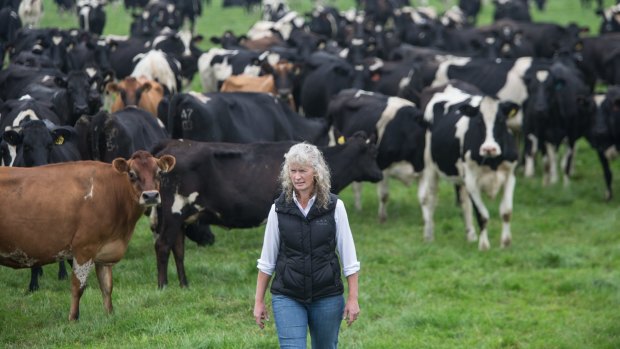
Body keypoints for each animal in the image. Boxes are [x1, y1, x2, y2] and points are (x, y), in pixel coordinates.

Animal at [0, 150, 174, 318]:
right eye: (131, 174)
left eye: (159, 173)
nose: (150, 195)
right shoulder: (84, 248)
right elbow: (78, 286)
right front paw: (73, 318)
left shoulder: (105, 254)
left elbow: (107, 286)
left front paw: (110, 315)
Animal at [150, 132, 382, 286]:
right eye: (372, 152)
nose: (380, 174)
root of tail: (172, 143)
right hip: (173, 212)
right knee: (162, 245)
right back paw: (163, 286)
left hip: (181, 218)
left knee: (178, 249)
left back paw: (184, 284)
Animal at [416, 81, 520, 250]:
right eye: (478, 121)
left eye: (501, 120)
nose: (489, 148)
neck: (492, 161)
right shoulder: (472, 180)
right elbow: (482, 215)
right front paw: (484, 246)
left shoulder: (510, 176)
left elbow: (506, 212)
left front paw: (505, 243)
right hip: (430, 167)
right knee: (430, 199)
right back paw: (429, 235)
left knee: (464, 204)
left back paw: (470, 235)